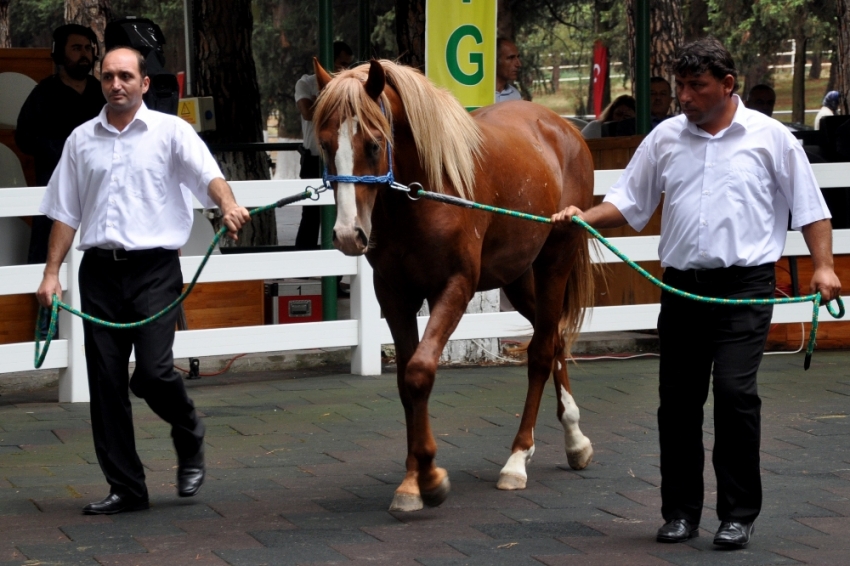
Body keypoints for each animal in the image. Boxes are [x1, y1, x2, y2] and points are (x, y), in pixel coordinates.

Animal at [312, 60, 596, 512]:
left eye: (373, 145)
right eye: (324, 146)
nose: (346, 234)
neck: (424, 194)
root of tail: (564, 128)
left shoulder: (455, 288)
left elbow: (419, 372)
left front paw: (429, 477)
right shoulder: (395, 296)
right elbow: (404, 382)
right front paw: (413, 480)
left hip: (555, 262)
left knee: (541, 352)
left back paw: (520, 458)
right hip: (518, 279)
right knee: (553, 339)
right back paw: (573, 440)